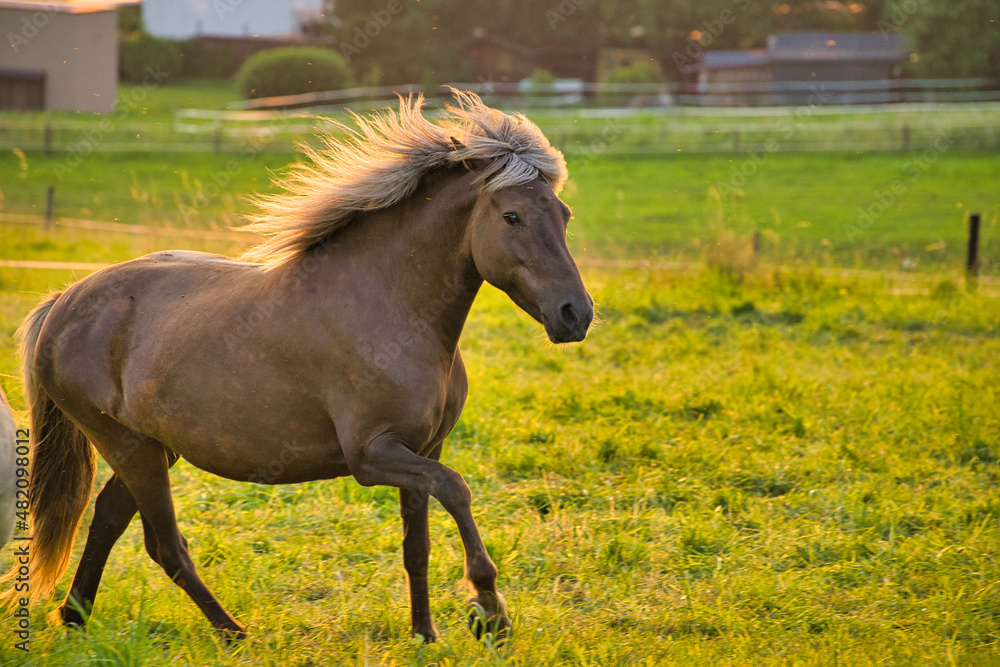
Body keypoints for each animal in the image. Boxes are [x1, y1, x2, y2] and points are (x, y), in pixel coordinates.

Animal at [0, 89, 593, 643]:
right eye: (512, 216)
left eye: (565, 216)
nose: (576, 314)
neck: (391, 307)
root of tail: (64, 302)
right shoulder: (372, 455)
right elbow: (456, 490)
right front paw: (489, 610)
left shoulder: (424, 449)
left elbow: (417, 546)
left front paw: (426, 633)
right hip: (129, 448)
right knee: (164, 544)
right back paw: (232, 632)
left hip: (152, 447)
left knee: (107, 520)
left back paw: (75, 619)